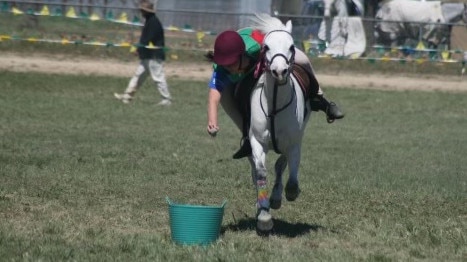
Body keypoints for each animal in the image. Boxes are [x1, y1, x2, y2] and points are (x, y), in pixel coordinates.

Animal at [250, 13, 312, 232]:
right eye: (266, 46)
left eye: (291, 46)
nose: (279, 71)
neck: (275, 104)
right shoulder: (257, 141)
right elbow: (260, 173)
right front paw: (264, 216)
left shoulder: (293, 143)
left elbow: (290, 175)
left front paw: (287, 194)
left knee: (281, 165)